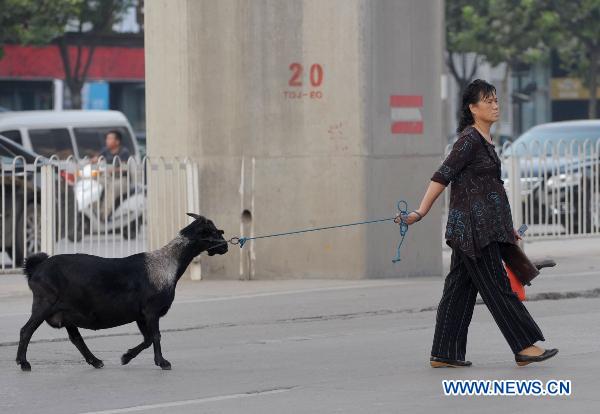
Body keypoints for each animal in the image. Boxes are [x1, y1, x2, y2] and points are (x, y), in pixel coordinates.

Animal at [16, 213, 229, 372]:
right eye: (212, 231)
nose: (226, 246)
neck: (168, 264)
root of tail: (36, 268)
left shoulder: (141, 315)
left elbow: (148, 339)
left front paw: (126, 357)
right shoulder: (151, 311)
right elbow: (156, 336)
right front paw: (162, 362)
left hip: (66, 313)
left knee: (76, 338)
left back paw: (96, 361)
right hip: (45, 304)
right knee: (26, 330)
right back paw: (23, 363)